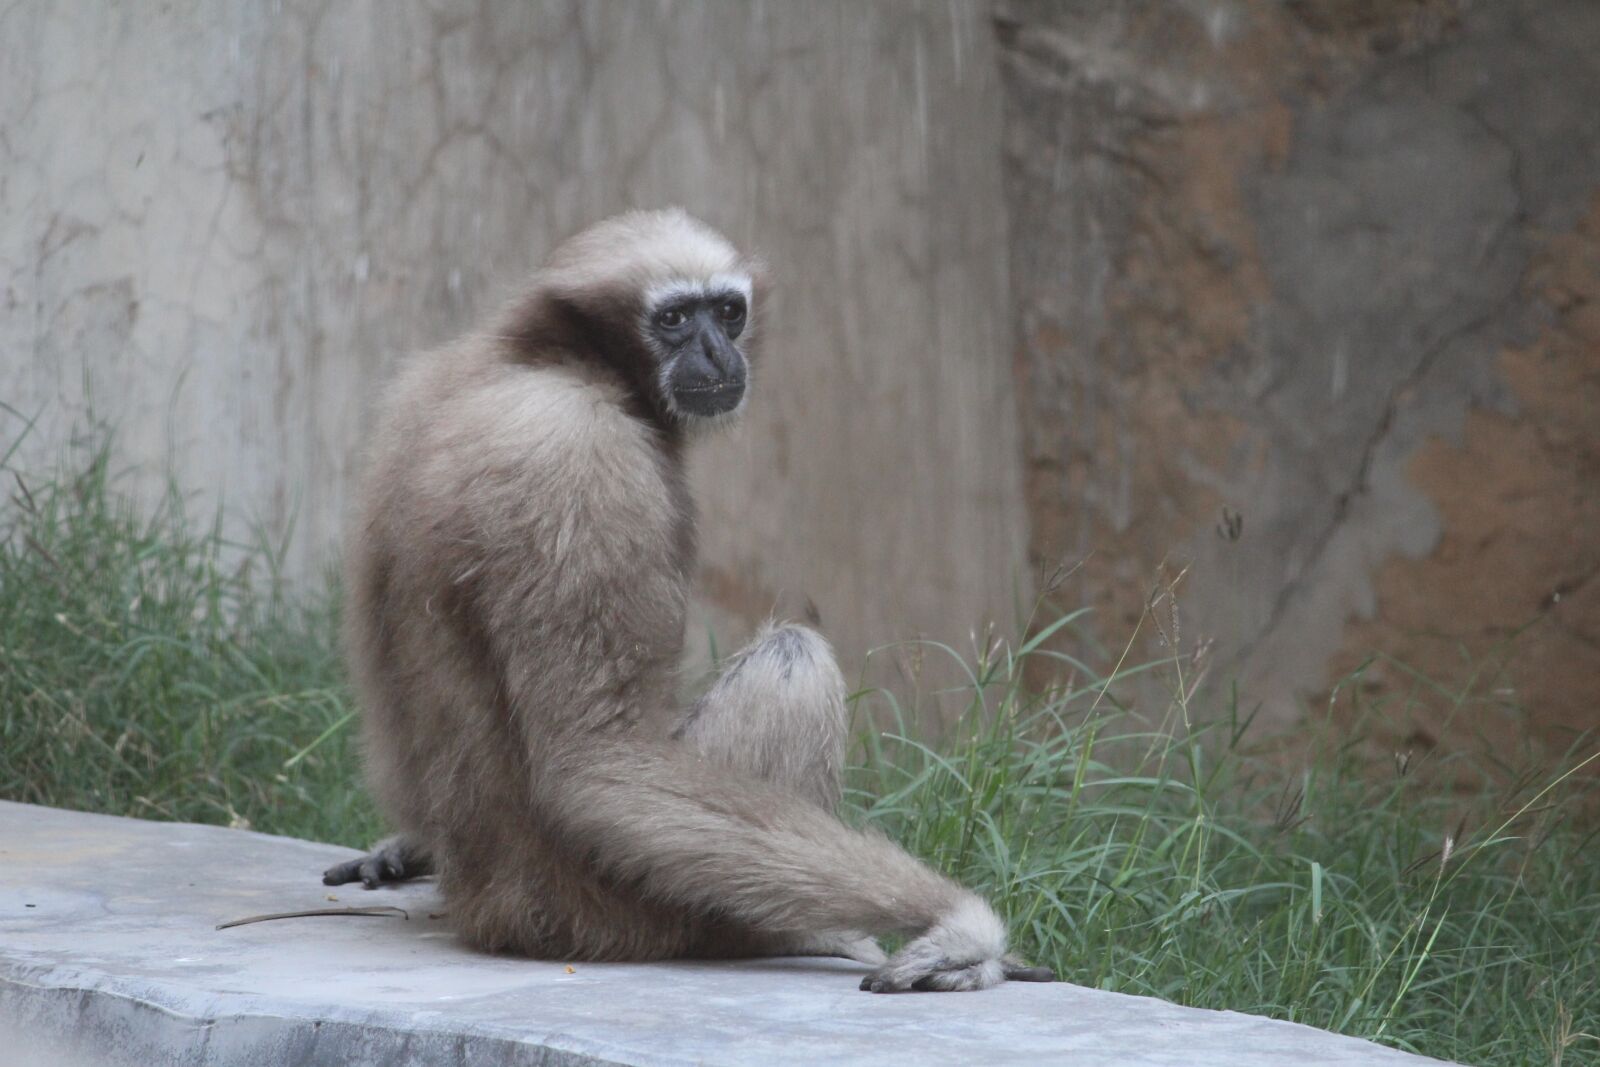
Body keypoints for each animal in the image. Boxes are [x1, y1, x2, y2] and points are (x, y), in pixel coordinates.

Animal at [322, 209, 1054, 993]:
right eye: (673, 318)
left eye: (727, 311)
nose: (715, 348)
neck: (538, 358)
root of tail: (487, 905)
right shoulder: (577, 462)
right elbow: (599, 768)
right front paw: (961, 925)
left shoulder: (415, 389)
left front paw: (403, 846)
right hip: (621, 911)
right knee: (793, 659)